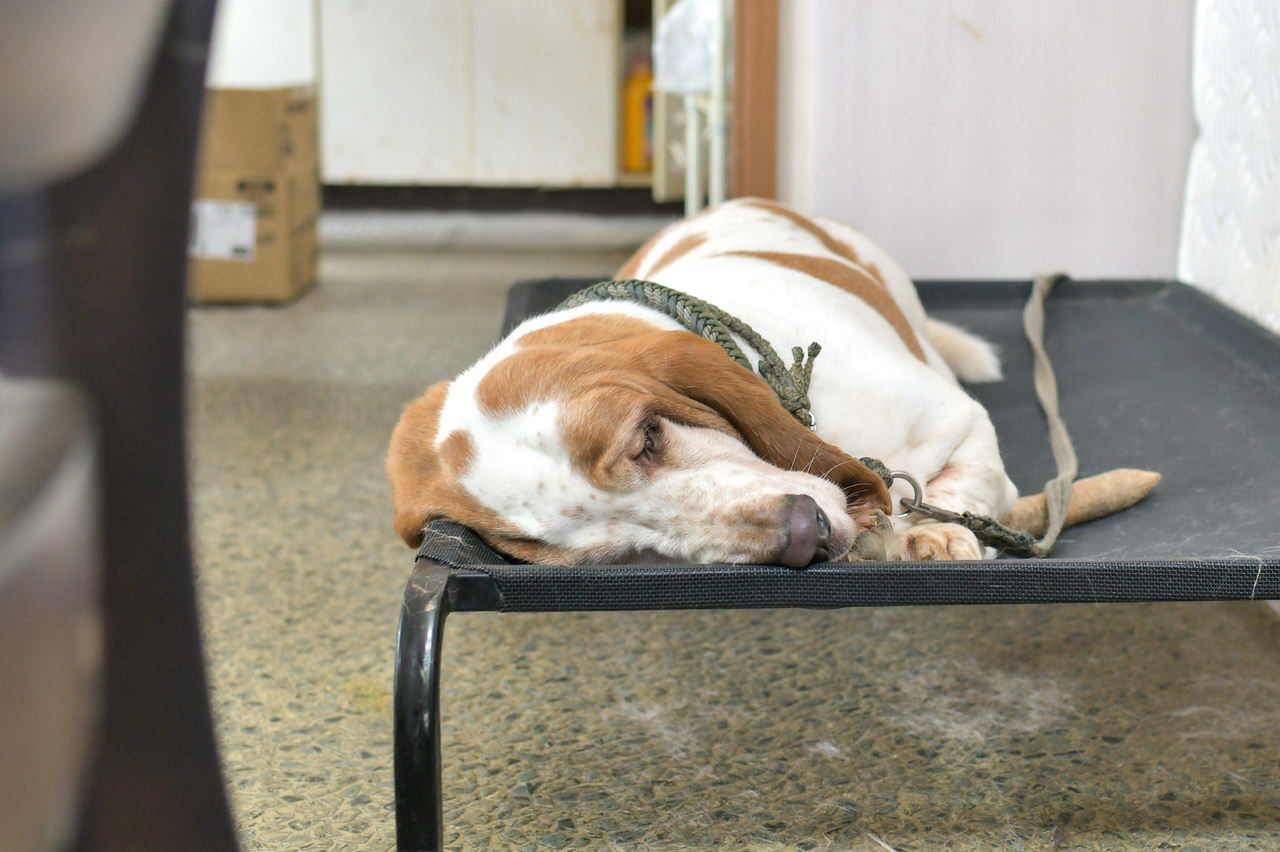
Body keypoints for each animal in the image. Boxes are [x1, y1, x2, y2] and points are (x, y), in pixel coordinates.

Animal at [386, 195, 1152, 560]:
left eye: (648, 436)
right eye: (611, 551)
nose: (801, 535)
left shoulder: (960, 421)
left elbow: (962, 486)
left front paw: (940, 536)